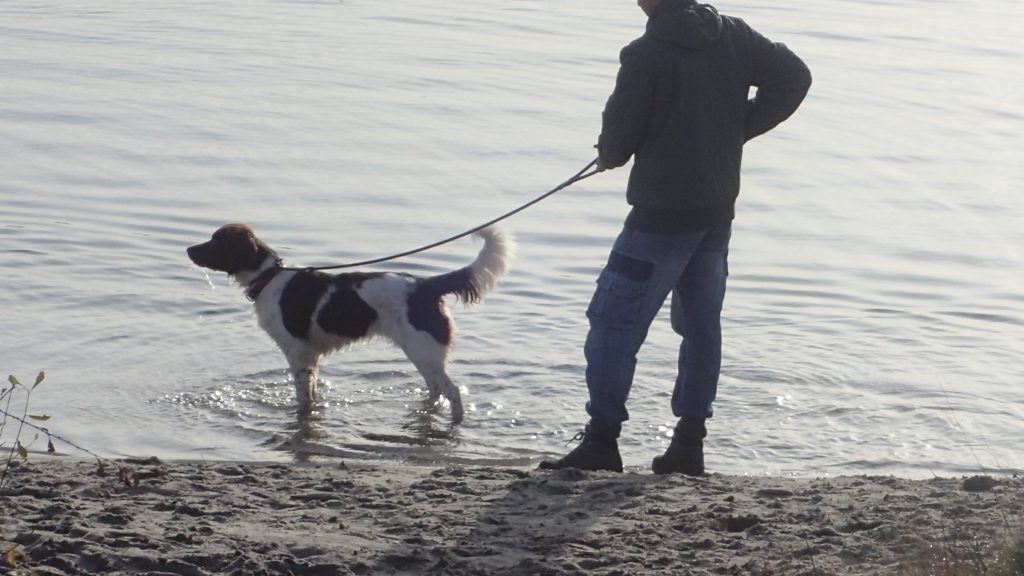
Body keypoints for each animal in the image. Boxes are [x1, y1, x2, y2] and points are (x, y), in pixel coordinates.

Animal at [186, 223, 509, 422]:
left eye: (215, 241)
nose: (188, 249)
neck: (269, 278)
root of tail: (426, 286)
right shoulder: (311, 357)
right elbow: (312, 397)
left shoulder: (298, 354)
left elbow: (302, 396)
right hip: (421, 354)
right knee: (436, 390)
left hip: (424, 351)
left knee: (453, 391)